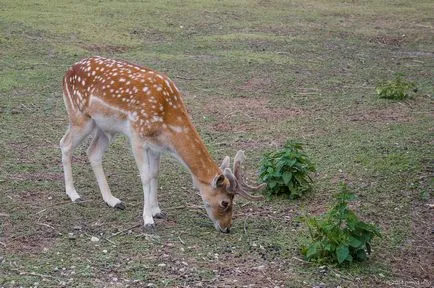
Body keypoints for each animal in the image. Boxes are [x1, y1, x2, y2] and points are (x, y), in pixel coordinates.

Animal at [59, 56, 264, 234]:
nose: (227, 228)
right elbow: (145, 176)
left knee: (92, 152)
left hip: (105, 128)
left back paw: (112, 200)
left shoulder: (156, 146)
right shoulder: (137, 137)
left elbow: (155, 174)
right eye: (225, 202)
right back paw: (74, 194)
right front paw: (148, 220)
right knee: (65, 144)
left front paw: (157, 210)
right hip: (80, 117)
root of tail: (67, 71)